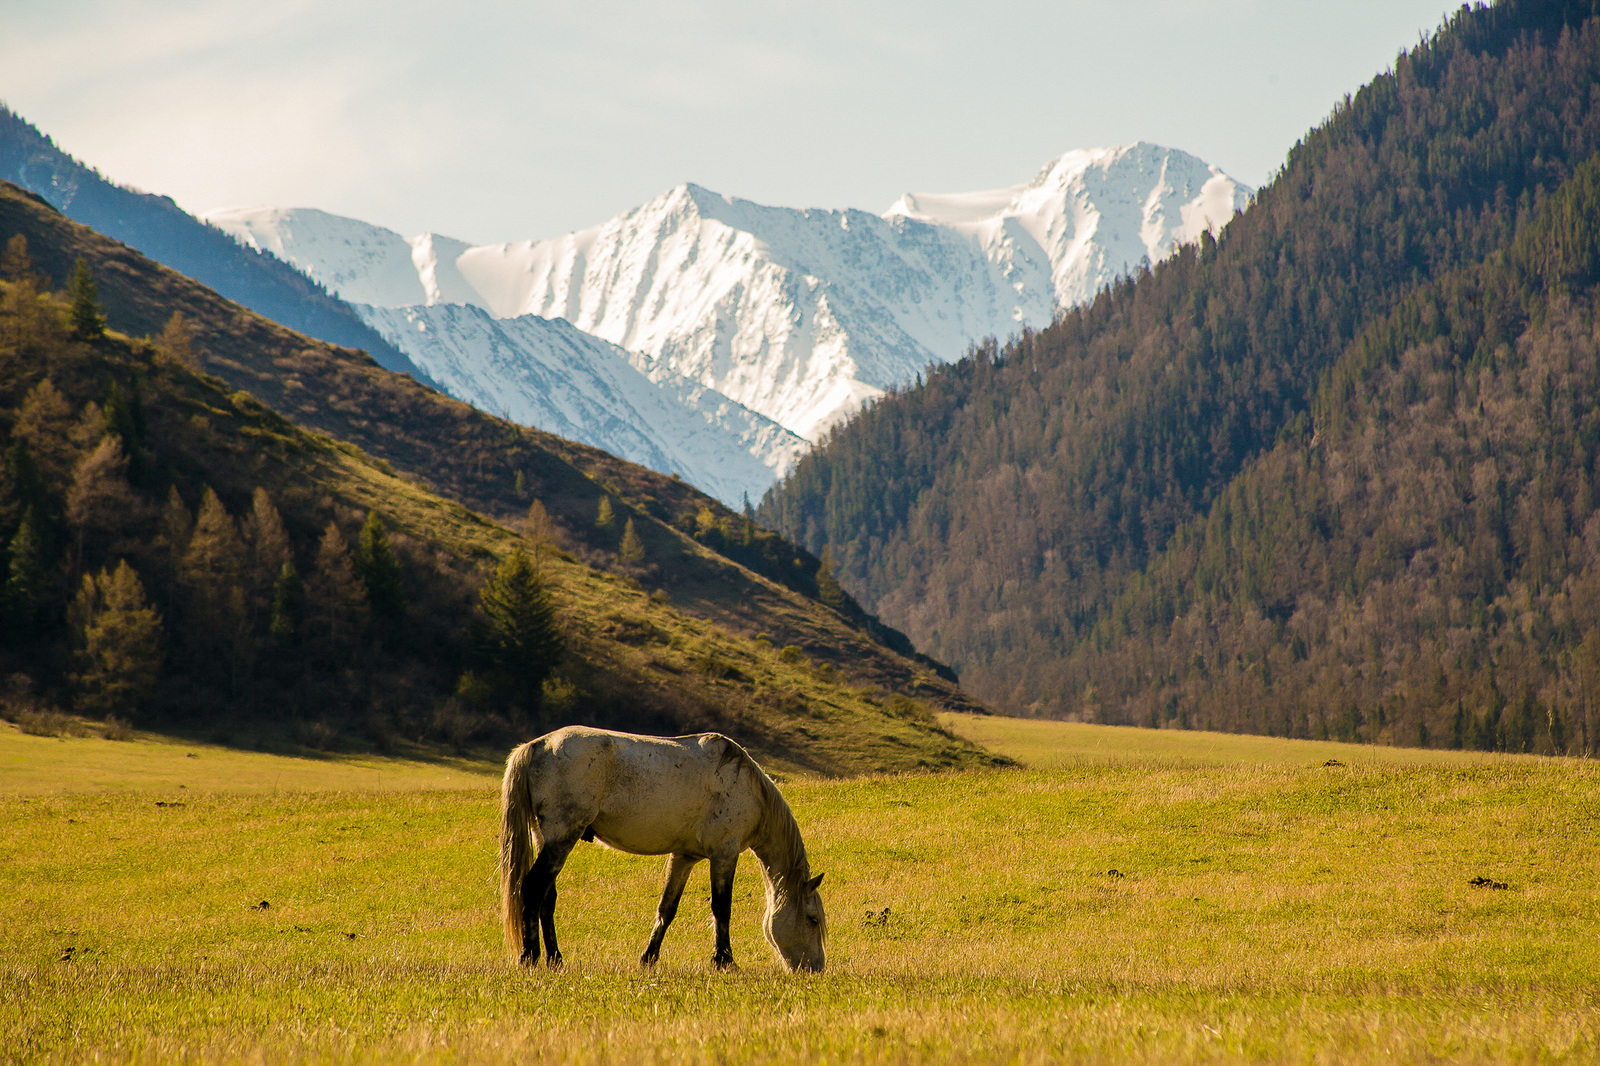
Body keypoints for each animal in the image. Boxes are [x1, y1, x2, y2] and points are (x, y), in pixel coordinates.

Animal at [496, 723, 825, 973]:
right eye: (813, 919)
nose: (815, 969)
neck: (744, 784)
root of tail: (537, 746)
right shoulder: (724, 854)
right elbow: (722, 908)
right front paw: (725, 961)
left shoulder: (684, 857)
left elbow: (667, 908)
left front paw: (649, 958)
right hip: (562, 837)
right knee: (533, 887)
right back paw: (530, 956)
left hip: (548, 838)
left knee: (546, 897)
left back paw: (554, 958)